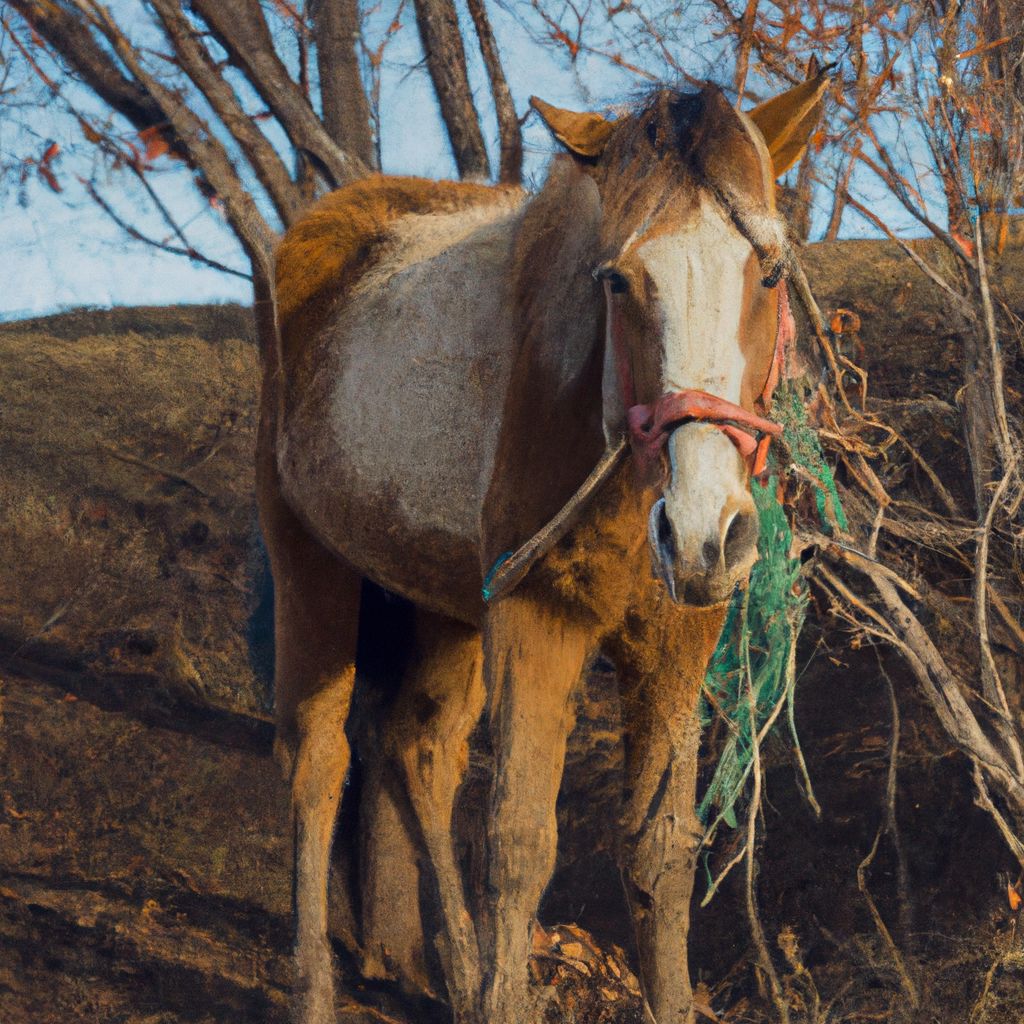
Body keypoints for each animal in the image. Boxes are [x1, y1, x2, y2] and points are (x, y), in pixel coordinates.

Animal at [256, 72, 831, 1024]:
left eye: (772, 270)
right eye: (618, 282)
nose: (703, 532)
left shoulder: (677, 644)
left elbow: (659, 852)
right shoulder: (537, 621)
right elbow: (520, 842)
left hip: (447, 605)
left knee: (418, 749)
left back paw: (457, 974)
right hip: (312, 566)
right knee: (318, 759)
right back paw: (312, 988)